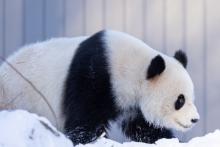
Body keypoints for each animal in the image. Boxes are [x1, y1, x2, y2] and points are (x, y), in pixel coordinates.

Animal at [0, 29, 199, 145]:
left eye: (191, 97)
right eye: (180, 100)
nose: (194, 120)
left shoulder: (133, 102)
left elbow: (142, 126)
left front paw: (168, 139)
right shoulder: (93, 76)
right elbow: (83, 121)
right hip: (16, 96)